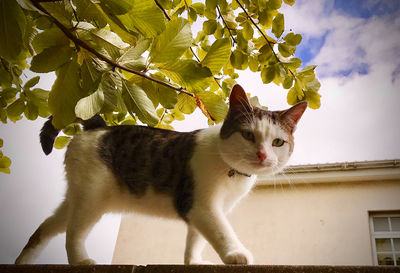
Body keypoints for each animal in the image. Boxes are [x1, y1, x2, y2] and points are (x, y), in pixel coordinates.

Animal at [13, 84, 306, 264]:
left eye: (277, 142)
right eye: (247, 135)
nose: (263, 156)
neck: (228, 170)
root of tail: (98, 125)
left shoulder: (201, 211)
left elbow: (196, 239)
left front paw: (194, 262)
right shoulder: (201, 205)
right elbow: (221, 231)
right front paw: (235, 253)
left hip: (76, 196)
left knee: (45, 229)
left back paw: (22, 261)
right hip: (92, 196)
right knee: (73, 233)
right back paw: (80, 261)